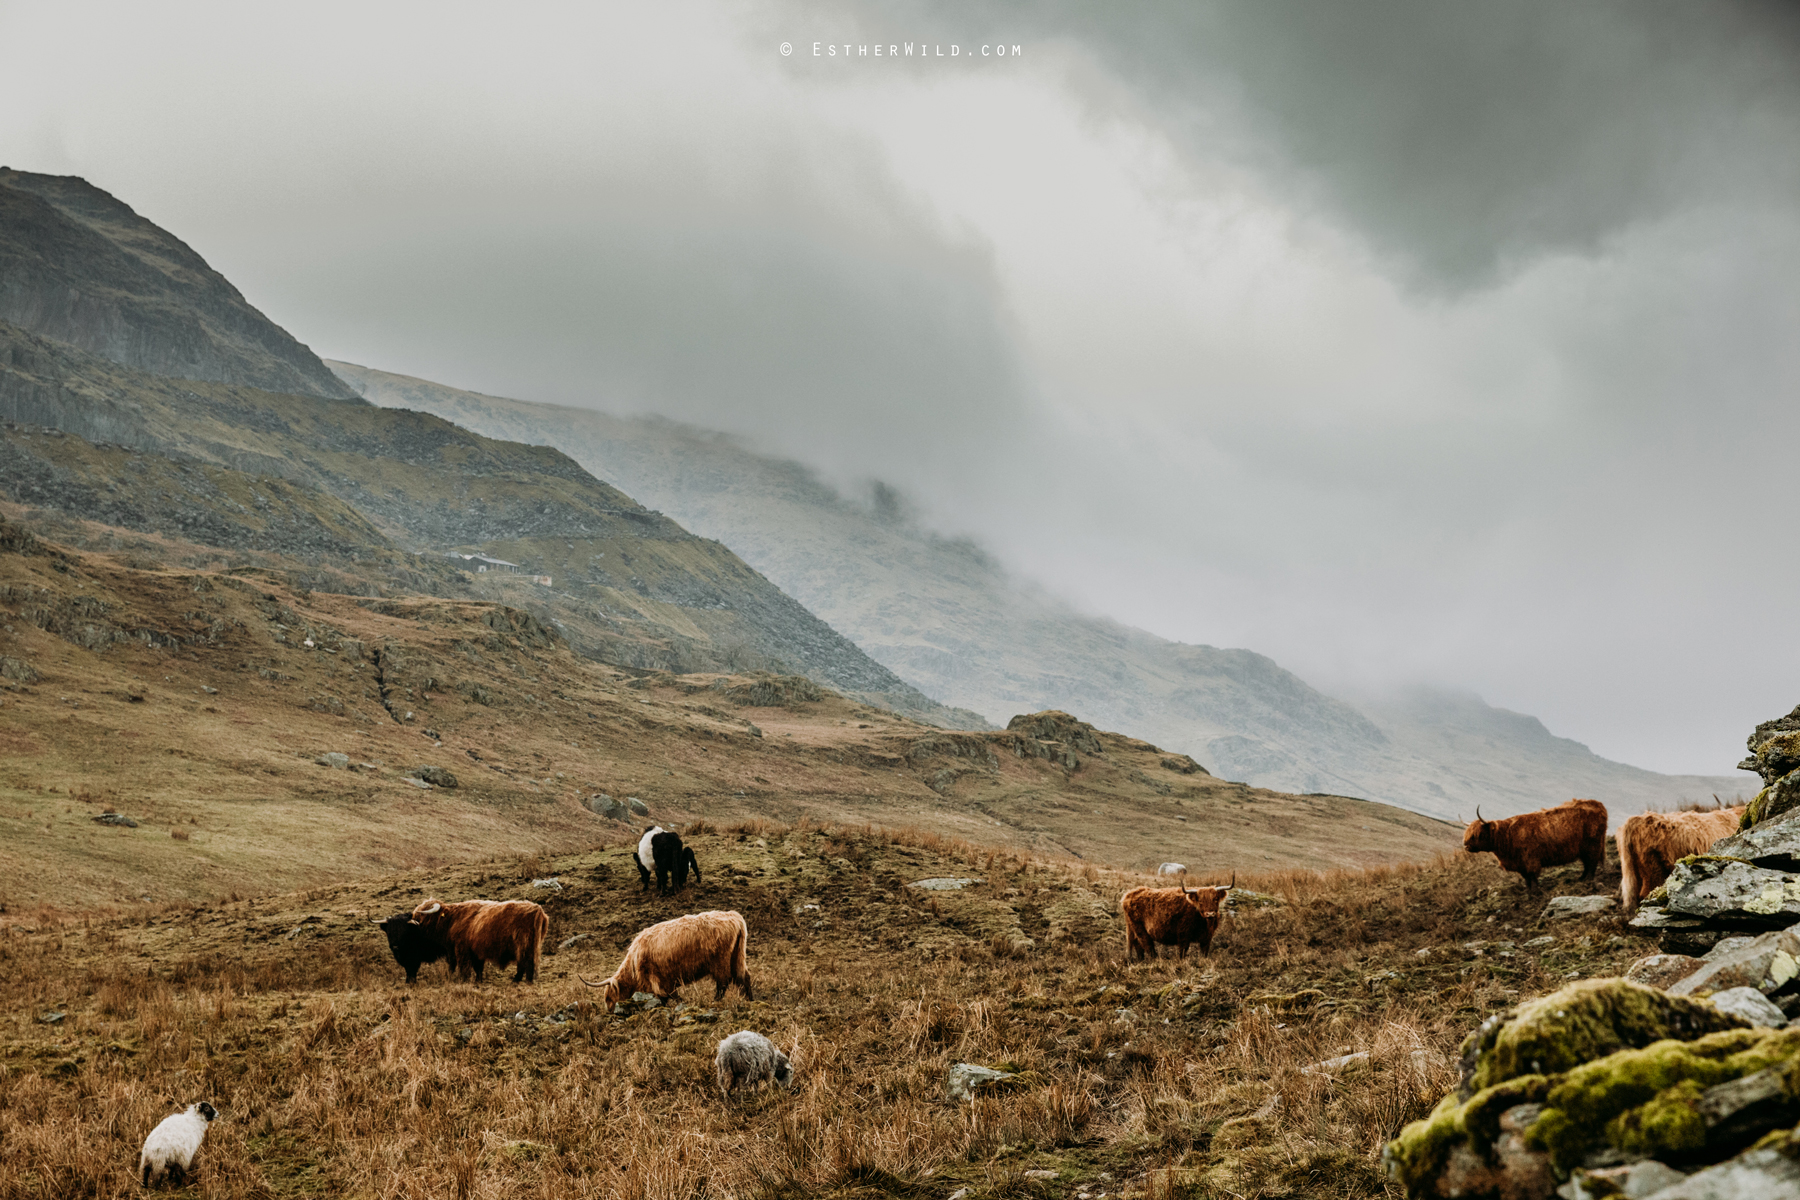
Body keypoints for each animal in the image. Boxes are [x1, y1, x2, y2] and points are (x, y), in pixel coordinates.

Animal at [408, 899, 547, 985]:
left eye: (424, 914)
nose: (413, 919)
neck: (452, 920)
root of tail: (536, 909)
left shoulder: (461, 949)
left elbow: (462, 966)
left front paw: (463, 979)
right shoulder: (475, 951)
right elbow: (478, 967)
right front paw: (478, 981)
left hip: (524, 946)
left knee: (525, 964)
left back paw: (521, 981)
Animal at [576, 910, 745, 1014]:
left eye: (608, 997)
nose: (609, 1012)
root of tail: (734, 916)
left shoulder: (658, 979)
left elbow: (667, 996)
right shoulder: (665, 981)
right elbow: (667, 996)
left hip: (720, 962)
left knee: (723, 983)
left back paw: (715, 1001)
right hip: (738, 956)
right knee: (743, 979)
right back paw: (747, 1000)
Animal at [1454, 798, 1612, 892]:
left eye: (1479, 834)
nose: (1466, 846)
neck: (1508, 835)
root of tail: (1597, 803)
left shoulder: (1530, 859)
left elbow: (1532, 876)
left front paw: (1535, 892)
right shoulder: (1520, 863)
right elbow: (1526, 878)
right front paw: (1528, 891)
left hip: (1592, 846)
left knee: (1591, 864)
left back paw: (1587, 880)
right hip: (1583, 849)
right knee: (1586, 864)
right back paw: (1581, 878)